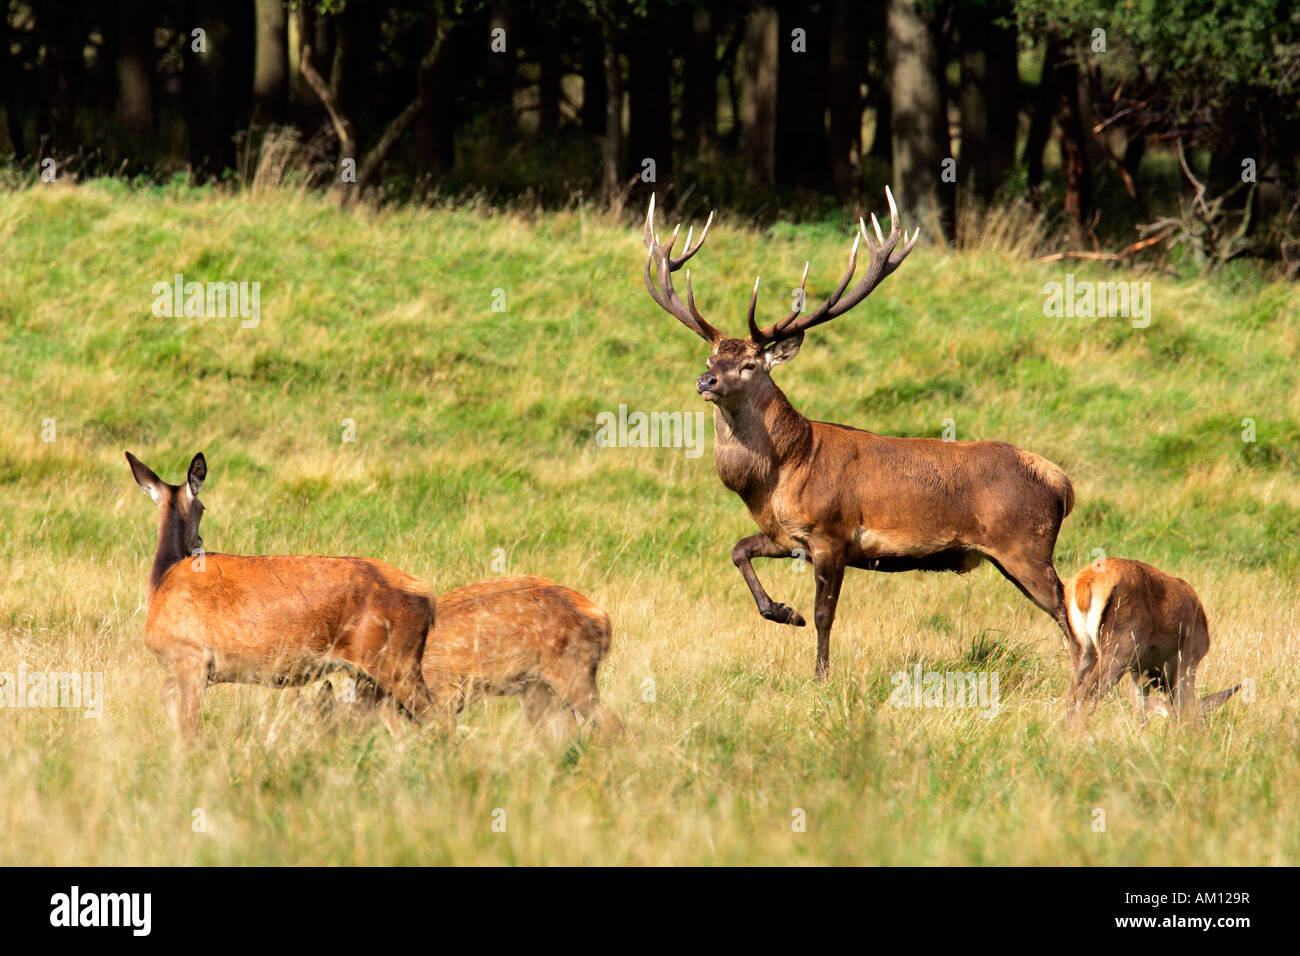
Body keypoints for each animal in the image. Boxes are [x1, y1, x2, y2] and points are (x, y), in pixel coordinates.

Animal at [639, 191, 1076, 676]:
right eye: (711, 357)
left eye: (749, 364)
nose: (706, 380)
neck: (781, 473)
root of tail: (1062, 483)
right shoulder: (786, 537)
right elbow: (738, 550)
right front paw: (784, 612)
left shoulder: (831, 534)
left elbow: (824, 615)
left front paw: (820, 675)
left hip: (1026, 545)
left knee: (1071, 610)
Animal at [1066, 556, 1237, 723]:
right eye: (1201, 719)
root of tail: (1086, 580)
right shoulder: (1187, 659)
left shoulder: (1138, 670)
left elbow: (1140, 713)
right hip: (1118, 652)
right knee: (1086, 694)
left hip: (1083, 649)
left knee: (1072, 696)